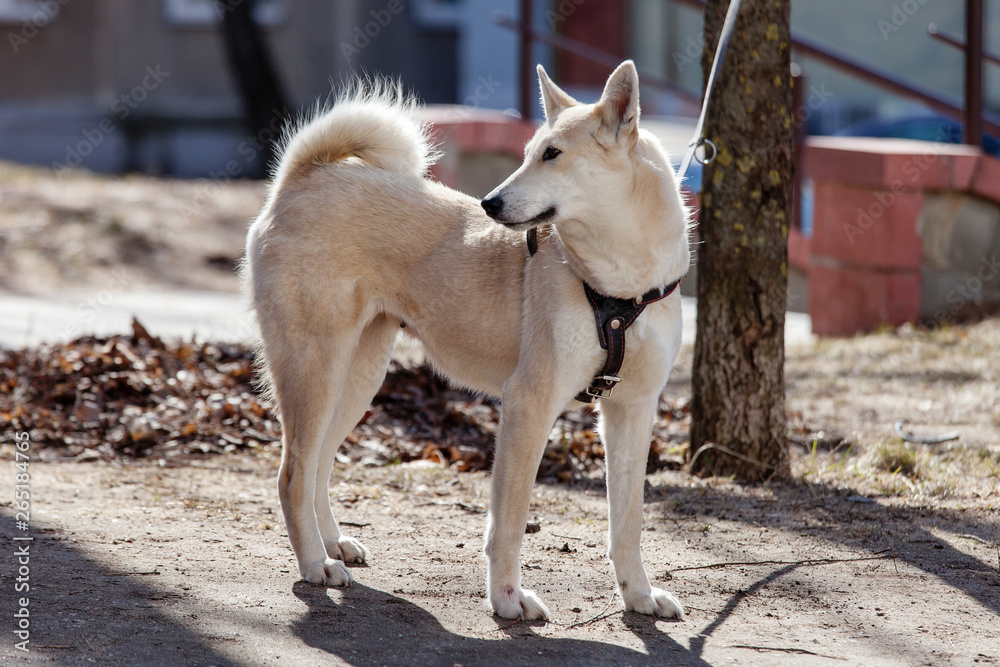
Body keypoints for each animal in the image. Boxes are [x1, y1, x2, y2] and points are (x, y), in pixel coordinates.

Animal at [246, 62, 692, 620]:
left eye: (552, 154)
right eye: (527, 152)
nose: (488, 203)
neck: (621, 284)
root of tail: (303, 179)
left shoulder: (632, 411)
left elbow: (627, 523)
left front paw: (638, 595)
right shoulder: (529, 404)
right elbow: (509, 523)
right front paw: (506, 598)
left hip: (357, 378)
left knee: (317, 469)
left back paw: (333, 545)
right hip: (316, 370)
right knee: (292, 475)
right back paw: (313, 564)